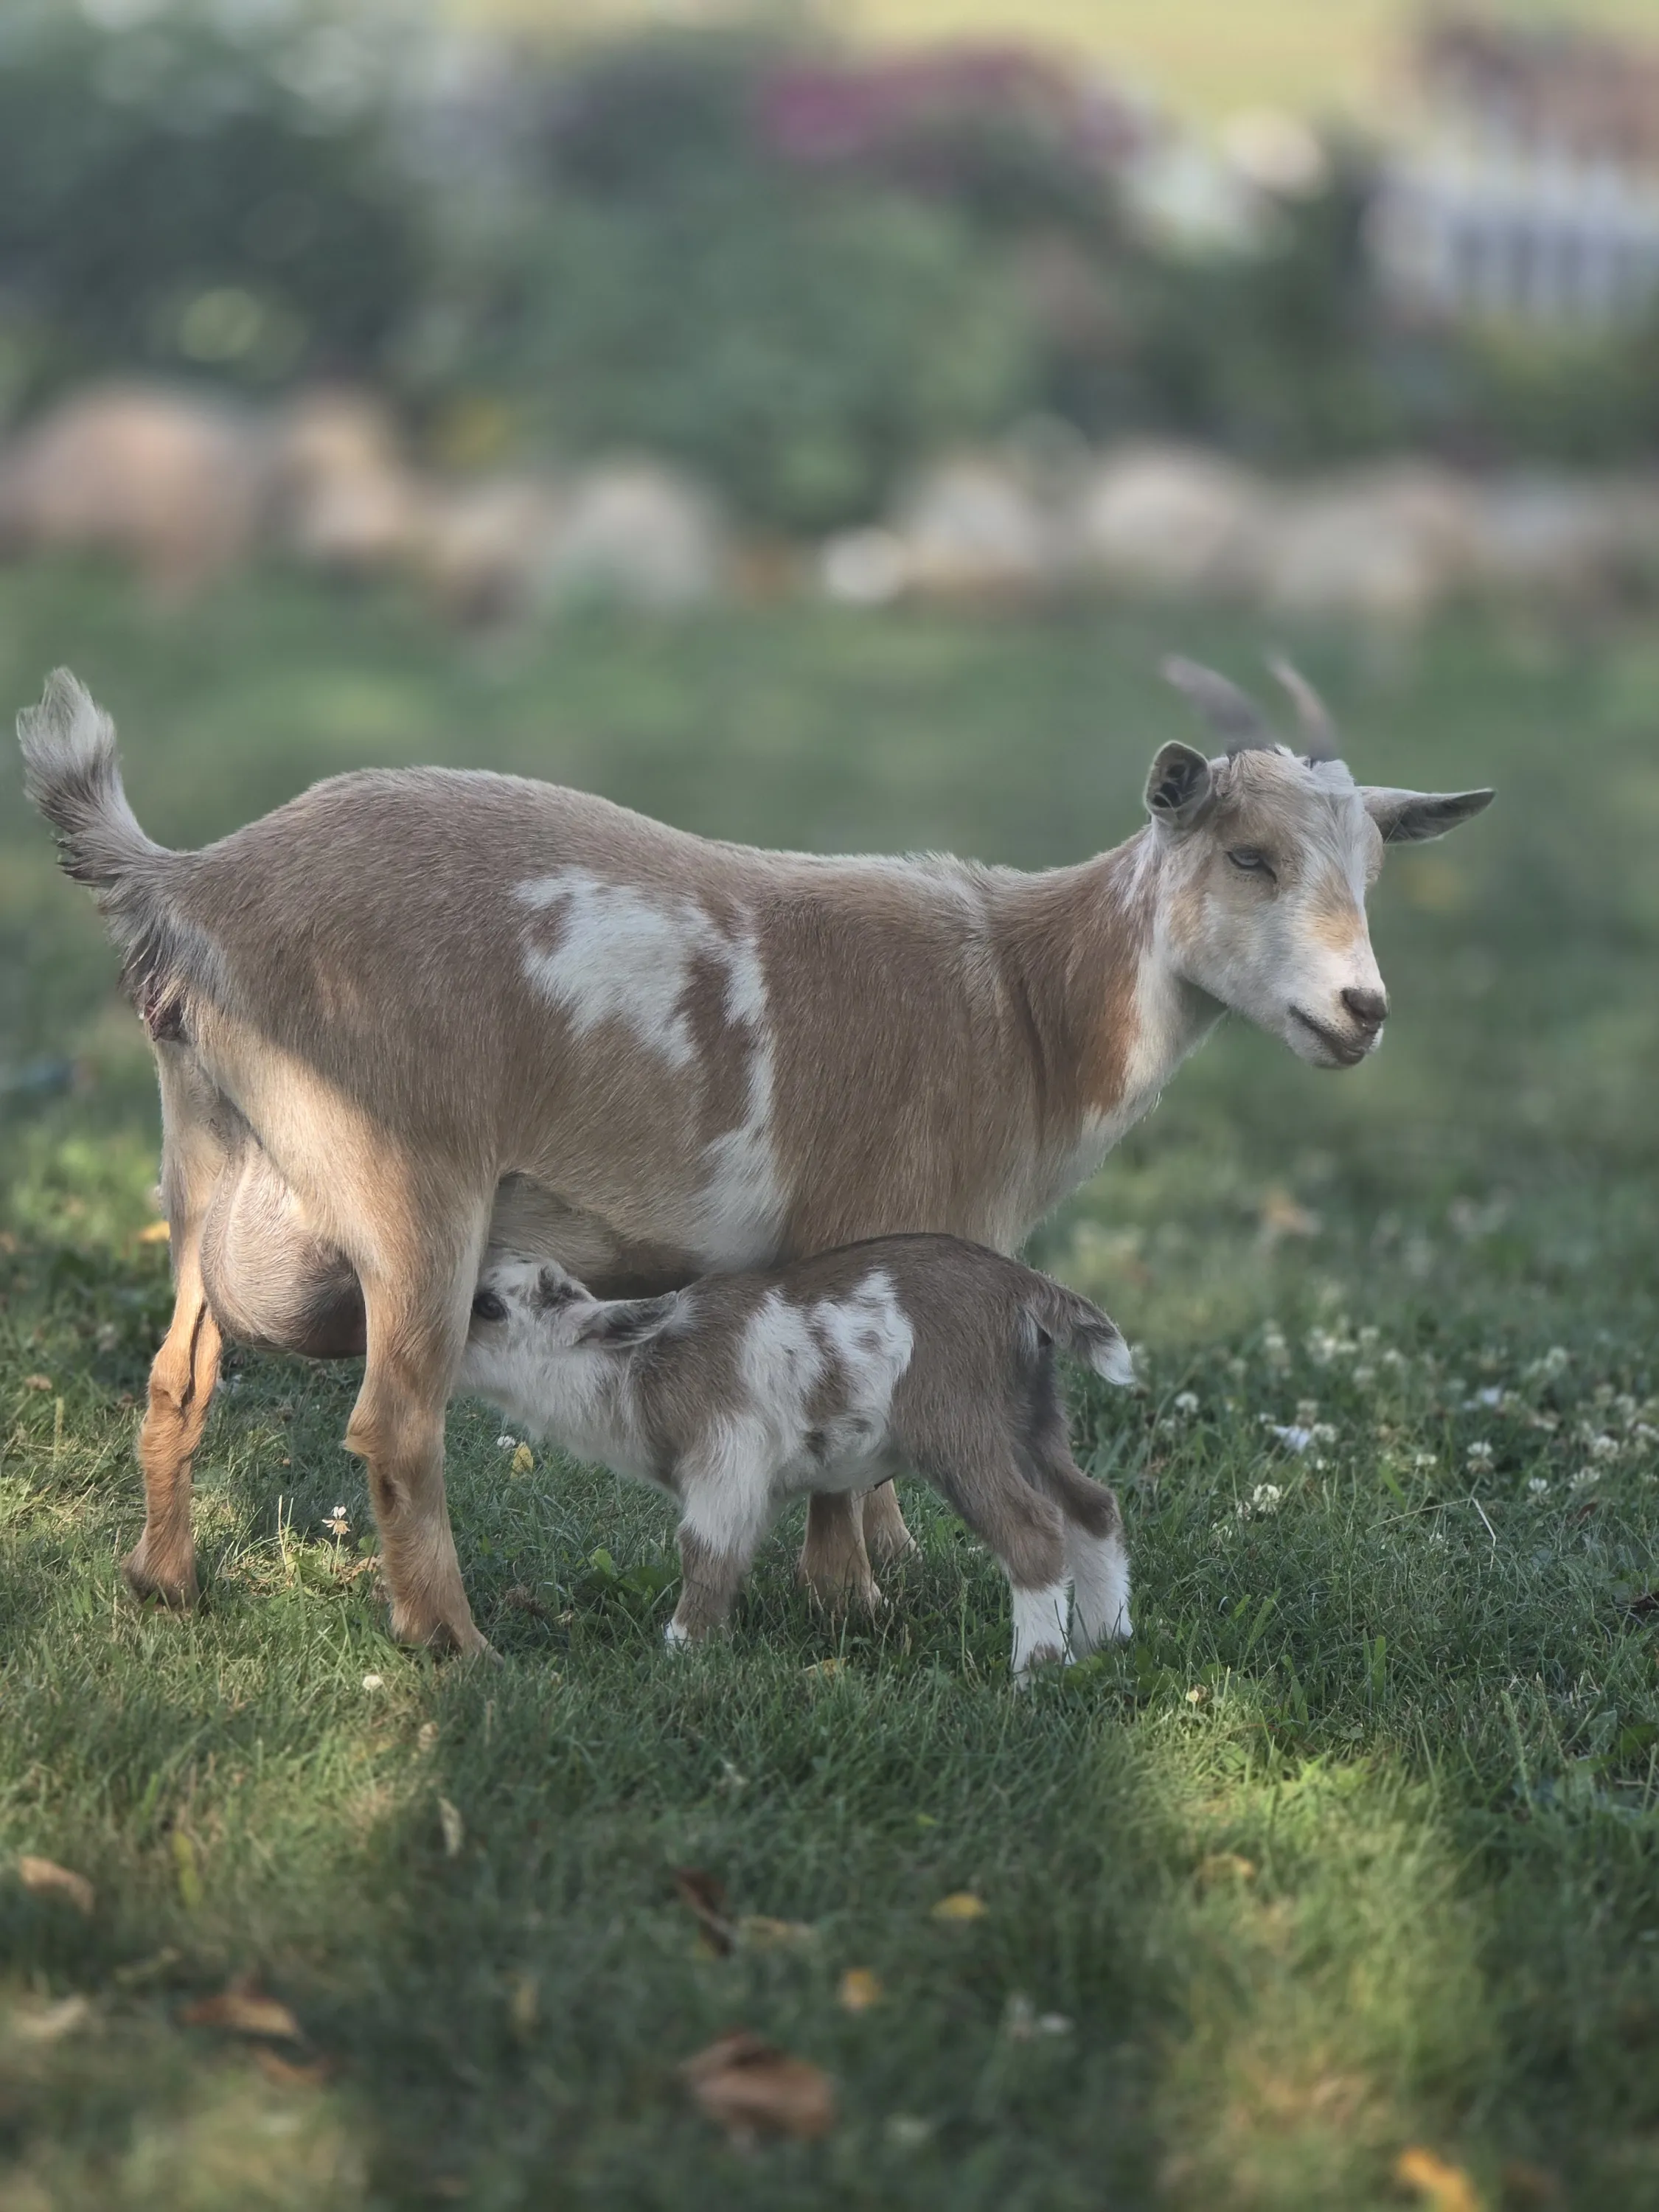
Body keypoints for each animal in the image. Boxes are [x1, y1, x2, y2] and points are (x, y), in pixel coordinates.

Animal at [461, 1235, 1134, 1676]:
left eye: (488, 1306)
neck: (637, 1369)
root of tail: (1024, 1286)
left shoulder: (727, 1460)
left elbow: (705, 1551)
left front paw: (682, 1647)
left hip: (960, 1429)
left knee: (1031, 1527)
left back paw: (1036, 1671)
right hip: (1033, 1416)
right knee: (1091, 1506)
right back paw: (1106, 1640)